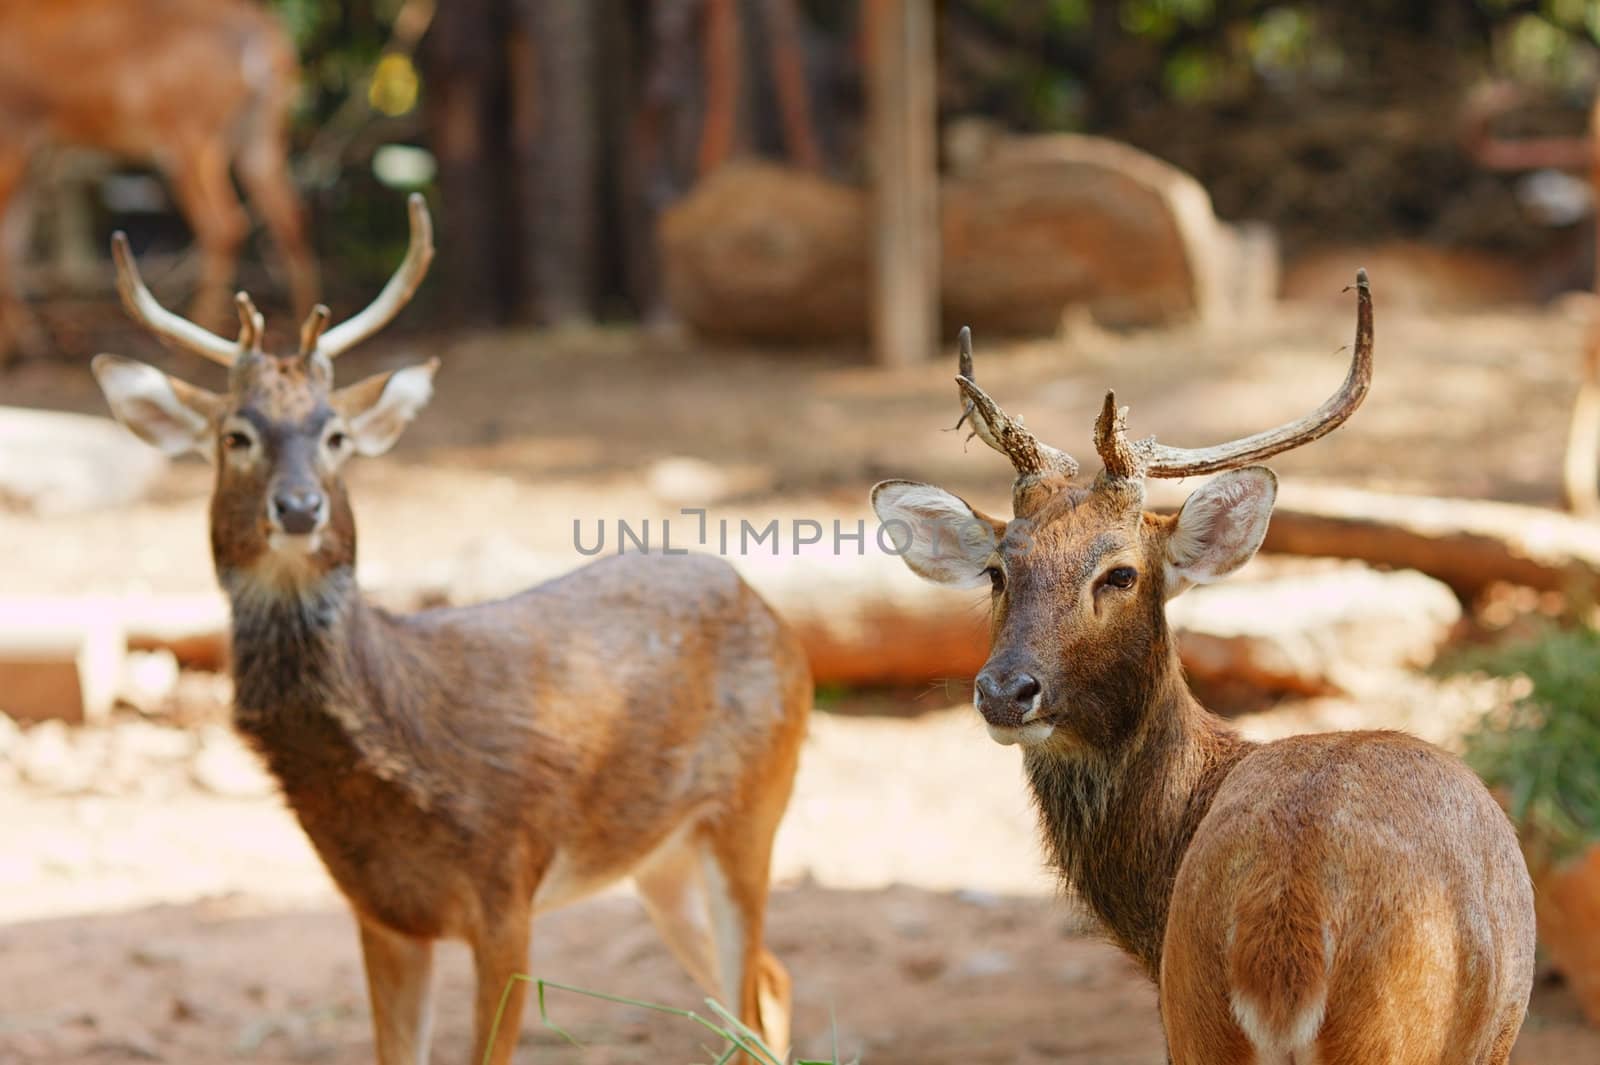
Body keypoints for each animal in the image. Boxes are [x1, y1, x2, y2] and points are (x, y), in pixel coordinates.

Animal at [0, 0, 321, 364]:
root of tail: (266, 44)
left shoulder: (14, 132)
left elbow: (6, 243)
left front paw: (10, 347)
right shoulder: (38, 153)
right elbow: (15, 242)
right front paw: (26, 342)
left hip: (190, 134)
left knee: (224, 224)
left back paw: (195, 344)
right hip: (260, 134)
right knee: (291, 219)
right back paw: (301, 339)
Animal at [87, 192, 806, 1061]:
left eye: (335, 435)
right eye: (236, 434)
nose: (299, 506)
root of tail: (773, 615)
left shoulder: (508, 887)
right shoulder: (381, 911)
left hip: (752, 804)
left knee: (756, 990)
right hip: (656, 856)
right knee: (768, 984)